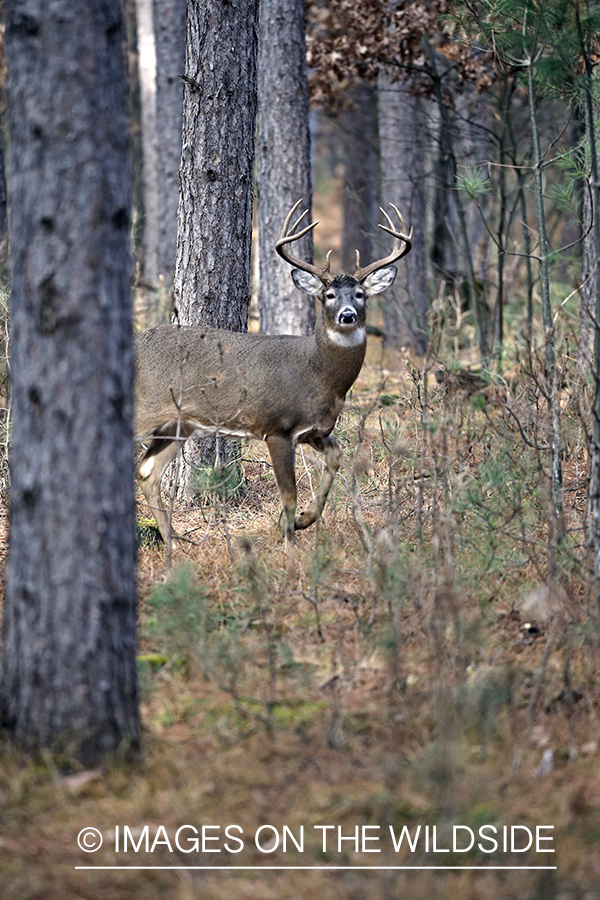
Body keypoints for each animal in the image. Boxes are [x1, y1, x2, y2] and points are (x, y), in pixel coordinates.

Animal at [133, 200, 410, 540]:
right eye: (328, 295)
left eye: (360, 294)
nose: (347, 315)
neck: (318, 375)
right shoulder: (277, 427)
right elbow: (289, 495)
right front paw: (289, 538)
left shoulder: (315, 430)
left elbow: (336, 458)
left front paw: (305, 519)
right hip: (146, 408)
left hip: (179, 423)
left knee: (147, 471)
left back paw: (175, 540)